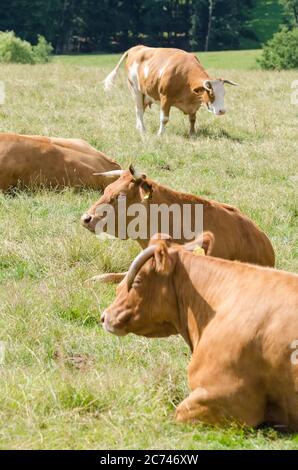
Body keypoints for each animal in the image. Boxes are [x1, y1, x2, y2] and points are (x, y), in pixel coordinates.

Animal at [103, 45, 239, 135]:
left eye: (224, 93)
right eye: (211, 93)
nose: (222, 111)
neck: (184, 77)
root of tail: (136, 48)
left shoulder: (193, 104)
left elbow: (192, 119)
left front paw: (192, 134)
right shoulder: (165, 98)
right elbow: (164, 119)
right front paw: (160, 135)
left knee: (141, 110)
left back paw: (138, 128)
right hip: (136, 90)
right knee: (139, 110)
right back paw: (142, 130)